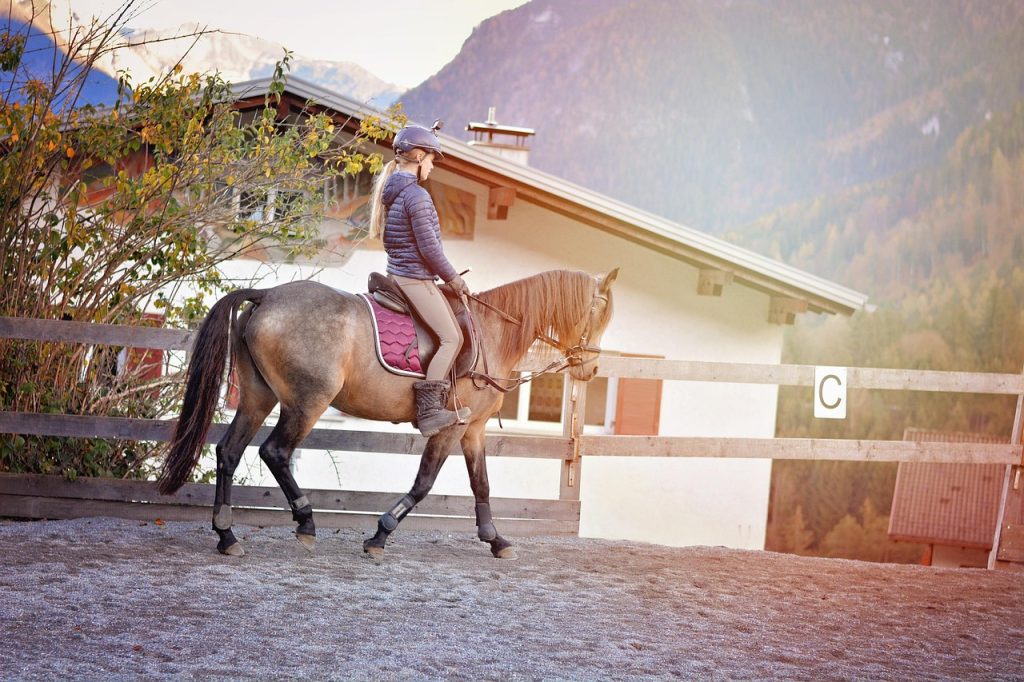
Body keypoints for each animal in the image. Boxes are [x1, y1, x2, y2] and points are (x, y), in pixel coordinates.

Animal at [156, 268, 618, 559]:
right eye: (599, 312)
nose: (591, 370)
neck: (493, 332)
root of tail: (268, 295)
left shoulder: (473, 429)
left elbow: (481, 484)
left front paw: (496, 540)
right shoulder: (451, 428)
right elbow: (425, 482)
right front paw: (380, 535)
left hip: (257, 397)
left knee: (229, 453)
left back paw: (227, 535)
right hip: (307, 402)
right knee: (275, 452)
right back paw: (305, 523)